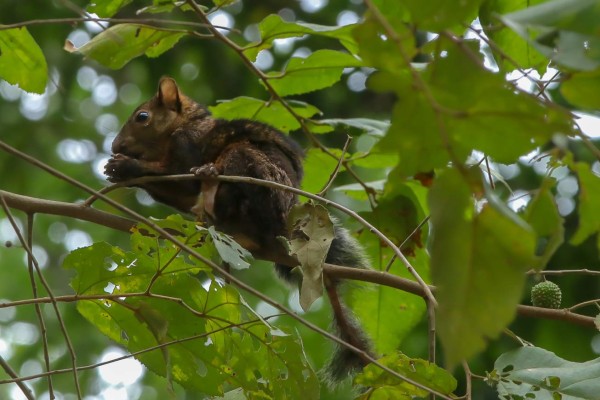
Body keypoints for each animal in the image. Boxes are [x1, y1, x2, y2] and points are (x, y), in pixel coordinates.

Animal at [105, 76, 372, 382]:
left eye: (142, 117)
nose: (115, 146)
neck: (182, 126)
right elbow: (178, 191)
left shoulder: (187, 145)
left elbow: (179, 178)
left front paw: (126, 167)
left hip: (249, 163)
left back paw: (211, 186)